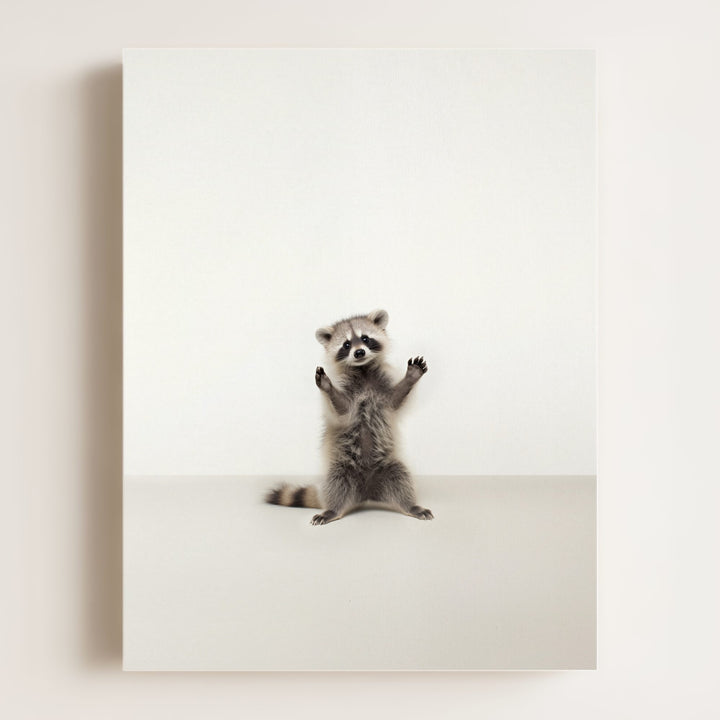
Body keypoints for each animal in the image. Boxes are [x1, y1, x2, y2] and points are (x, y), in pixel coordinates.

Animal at [265, 309, 433, 525]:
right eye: (346, 344)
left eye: (365, 338)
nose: (359, 352)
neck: (363, 370)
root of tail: (367, 493)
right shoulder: (347, 392)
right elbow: (342, 410)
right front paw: (328, 387)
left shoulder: (382, 388)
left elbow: (395, 400)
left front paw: (410, 377)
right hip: (341, 467)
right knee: (336, 484)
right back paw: (332, 510)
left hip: (389, 466)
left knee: (402, 478)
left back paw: (410, 506)